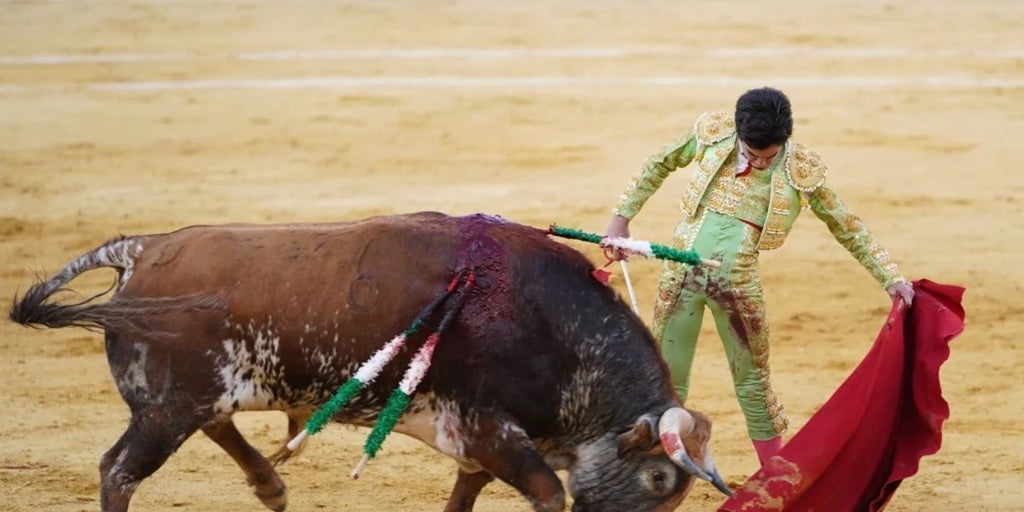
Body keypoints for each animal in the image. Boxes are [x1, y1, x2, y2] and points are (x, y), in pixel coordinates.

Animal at [8, 211, 729, 512]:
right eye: (659, 480)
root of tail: (142, 249)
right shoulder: (488, 430)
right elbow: (549, 493)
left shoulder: (477, 443)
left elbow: (465, 497)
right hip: (165, 409)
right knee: (119, 472)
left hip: (187, 400)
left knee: (215, 427)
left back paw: (271, 488)